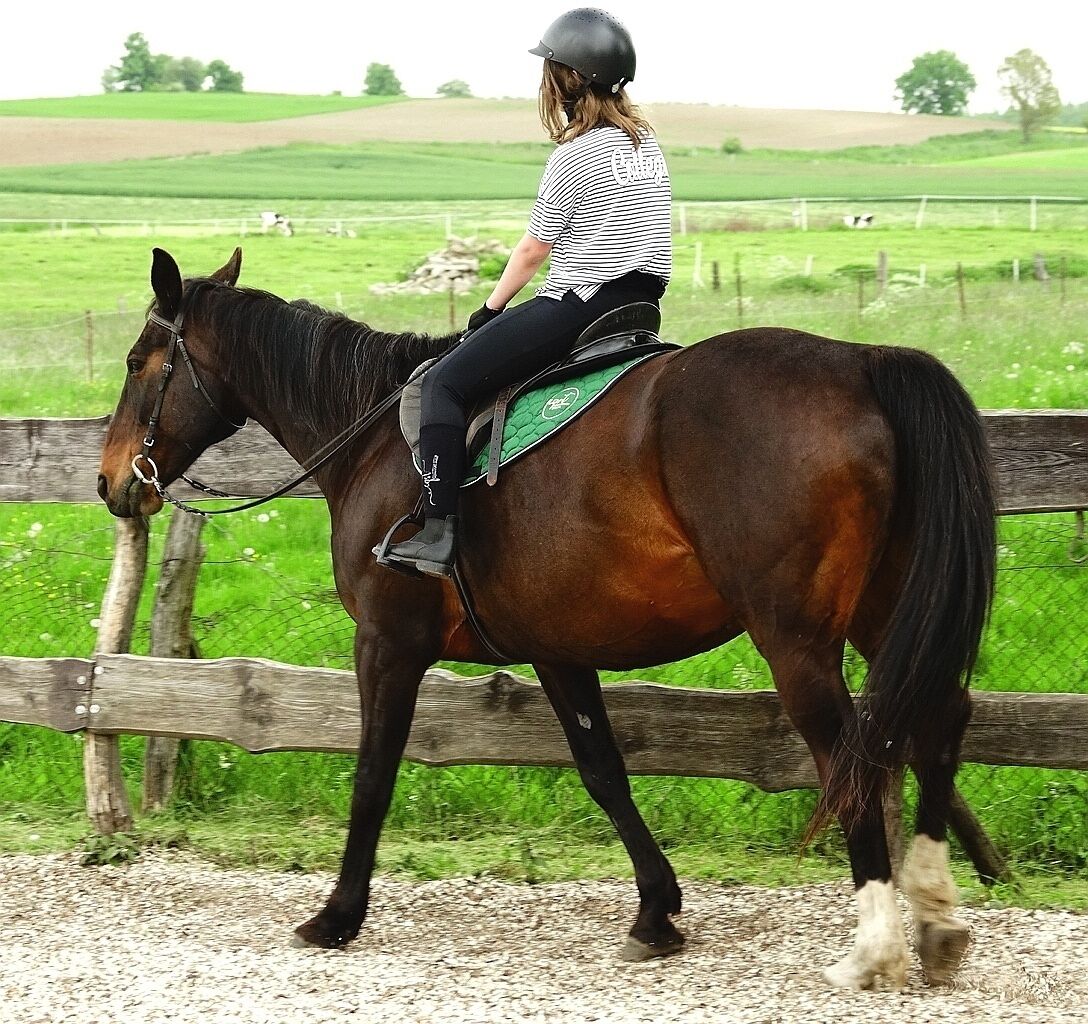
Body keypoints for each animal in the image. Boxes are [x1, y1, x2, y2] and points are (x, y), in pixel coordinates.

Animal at [98, 247, 996, 990]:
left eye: (140, 362)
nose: (111, 482)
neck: (376, 442)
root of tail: (863, 362)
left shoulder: (386, 643)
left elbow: (374, 770)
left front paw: (338, 914)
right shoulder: (559, 648)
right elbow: (604, 771)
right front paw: (655, 911)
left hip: (796, 640)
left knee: (854, 756)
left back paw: (877, 944)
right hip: (884, 611)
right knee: (939, 717)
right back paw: (937, 918)